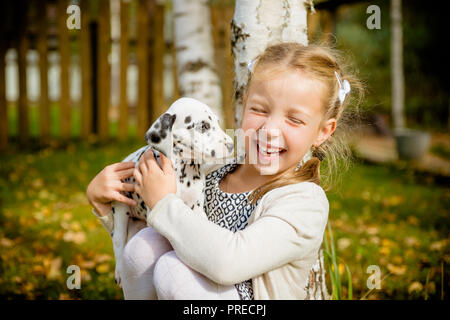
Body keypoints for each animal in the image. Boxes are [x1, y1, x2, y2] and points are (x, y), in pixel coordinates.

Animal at [111, 97, 236, 284]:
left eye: (218, 122)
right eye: (203, 126)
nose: (231, 145)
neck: (185, 171)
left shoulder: (197, 209)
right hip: (120, 212)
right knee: (118, 243)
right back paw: (119, 271)